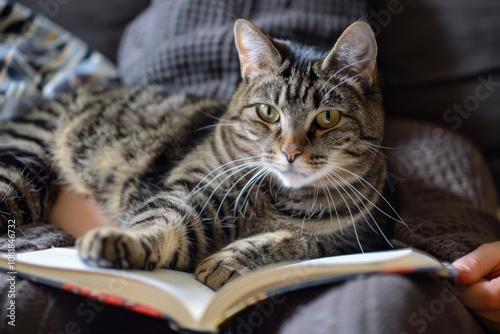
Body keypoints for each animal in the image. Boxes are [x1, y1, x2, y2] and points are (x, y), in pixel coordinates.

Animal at [0, 18, 398, 290]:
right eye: (268, 112)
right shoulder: (189, 193)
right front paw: (122, 242)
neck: (276, 197)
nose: (290, 152)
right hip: (24, 166)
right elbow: (159, 221)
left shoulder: (351, 243)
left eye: (327, 118)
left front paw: (227, 261)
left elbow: (291, 241)